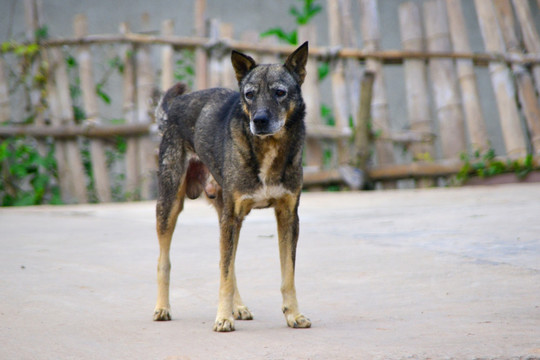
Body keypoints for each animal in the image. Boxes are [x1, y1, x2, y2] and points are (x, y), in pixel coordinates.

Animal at [154, 41, 310, 332]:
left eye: (280, 93)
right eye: (249, 95)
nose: (259, 120)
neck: (268, 147)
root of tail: (176, 106)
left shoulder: (287, 216)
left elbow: (288, 275)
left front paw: (293, 314)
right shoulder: (232, 216)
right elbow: (225, 275)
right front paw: (223, 318)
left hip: (223, 213)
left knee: (226, 262)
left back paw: (239, 307)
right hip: (170, 205)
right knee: (164, 261)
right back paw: (162, 307)